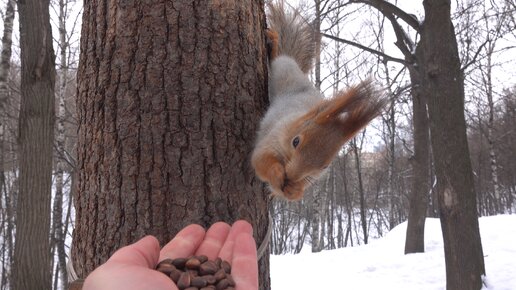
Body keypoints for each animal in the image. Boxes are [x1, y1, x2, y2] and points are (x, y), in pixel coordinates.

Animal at [250, 1, 388, 202]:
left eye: (325, 166)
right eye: (296, 142)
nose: (291, 176)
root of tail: (301, 74)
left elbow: (296, 191)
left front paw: (294, 190)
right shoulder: (272, 136)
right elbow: (261, 160)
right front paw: (276, 173)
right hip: (282, 71)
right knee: (278, 59)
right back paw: (274, 45)